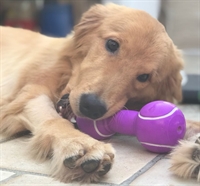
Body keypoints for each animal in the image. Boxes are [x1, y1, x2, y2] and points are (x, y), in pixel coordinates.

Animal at [0, 3, 199, 183]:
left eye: (144, 77)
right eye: (112, 44)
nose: (91, 107)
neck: (66, 70)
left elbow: (190, 123)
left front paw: (194, 150)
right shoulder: (29, 95)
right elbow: (54, 120)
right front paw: (80, 144)